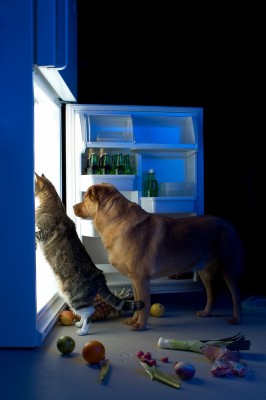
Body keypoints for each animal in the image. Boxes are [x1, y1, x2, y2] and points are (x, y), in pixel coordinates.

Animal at [34, 172, 145, 334]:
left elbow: (35, 233)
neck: (51, 203)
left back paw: (83, 331)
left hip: (74, 297)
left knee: (89, 312)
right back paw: (79, 324)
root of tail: (98, 274)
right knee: (87, 310)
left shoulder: (43, 232)